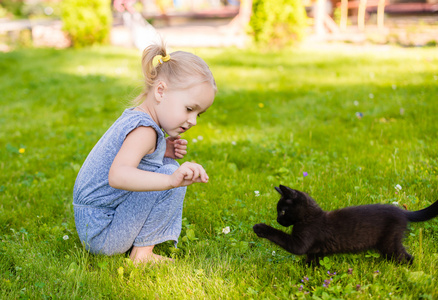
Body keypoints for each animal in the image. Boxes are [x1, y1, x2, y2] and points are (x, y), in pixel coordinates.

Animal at [253, 184, 438, 264]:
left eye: (283, 211)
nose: (278, 220)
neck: (310, 217)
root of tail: (402, 211)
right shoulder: (315, 250)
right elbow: (312, 260)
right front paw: (307, 269)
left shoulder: (300, 242)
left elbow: (280, 236)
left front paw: (259, 228)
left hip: (389, 243)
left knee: (406, 257)